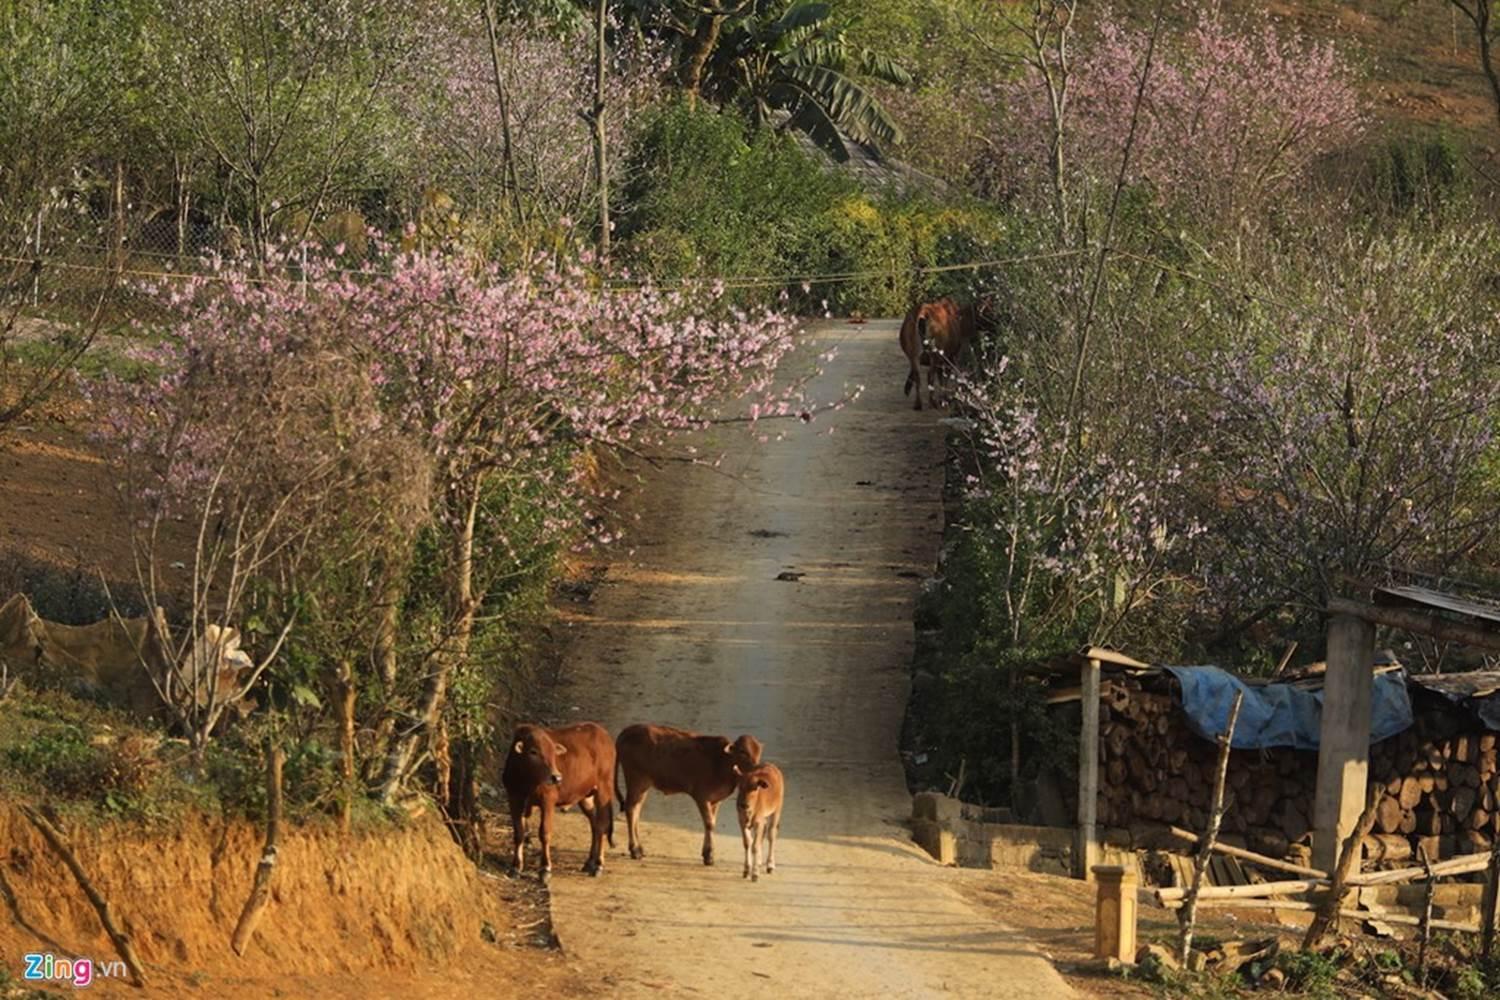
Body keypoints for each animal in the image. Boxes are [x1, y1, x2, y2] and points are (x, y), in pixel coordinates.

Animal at [504, 722, 615, 881]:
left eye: (553, 752)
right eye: (533, 751)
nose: (556, 777)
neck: (526, 780)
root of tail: (603, 734)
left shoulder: (547, 801)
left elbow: (544, 833)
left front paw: (545, 869)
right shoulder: (513, 798)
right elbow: (519, 833)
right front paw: (515, 868)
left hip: (604, 789)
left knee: (602, 824)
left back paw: (599, 865)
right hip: (585, 797)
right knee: (594, 823)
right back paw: (589, 862)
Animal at [615, 728, 768, 869]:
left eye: (758, 752)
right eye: (743, 751)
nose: (756, 768)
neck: (721, 762)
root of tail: (626, 731)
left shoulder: (716, 800)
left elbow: (712, 822)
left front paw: (707, 853)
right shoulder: (701, 796)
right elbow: (709, 824)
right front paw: (709, 856)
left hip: (644, 785)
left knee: (636, 811)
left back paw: (639, 848)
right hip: (636, 779)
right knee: (630, 809)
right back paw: (635, 850)